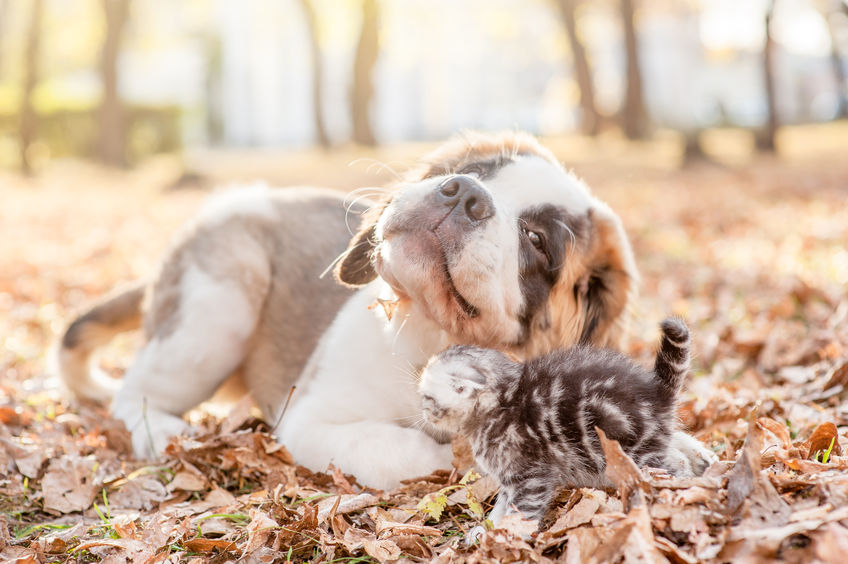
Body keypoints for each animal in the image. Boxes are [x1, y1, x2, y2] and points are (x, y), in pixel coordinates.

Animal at [56, 132, 712, 490]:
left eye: (536, 240)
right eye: (476, 172)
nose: (464, 193)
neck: (434, 340)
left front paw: (677, 449)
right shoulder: (313, 422)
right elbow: (416, 451)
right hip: (217, 309)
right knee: (134, 394)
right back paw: (162, 431)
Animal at [420, 316, 700, 528]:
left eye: (427, 397)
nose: (422, 412)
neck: (500, 405)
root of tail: (657, 391)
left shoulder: (531, 474)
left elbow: (523, 510)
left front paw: (511, 536)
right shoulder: (510, 477)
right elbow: (502, 505)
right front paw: (488, 531)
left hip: (636, 453)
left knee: (673, 469)